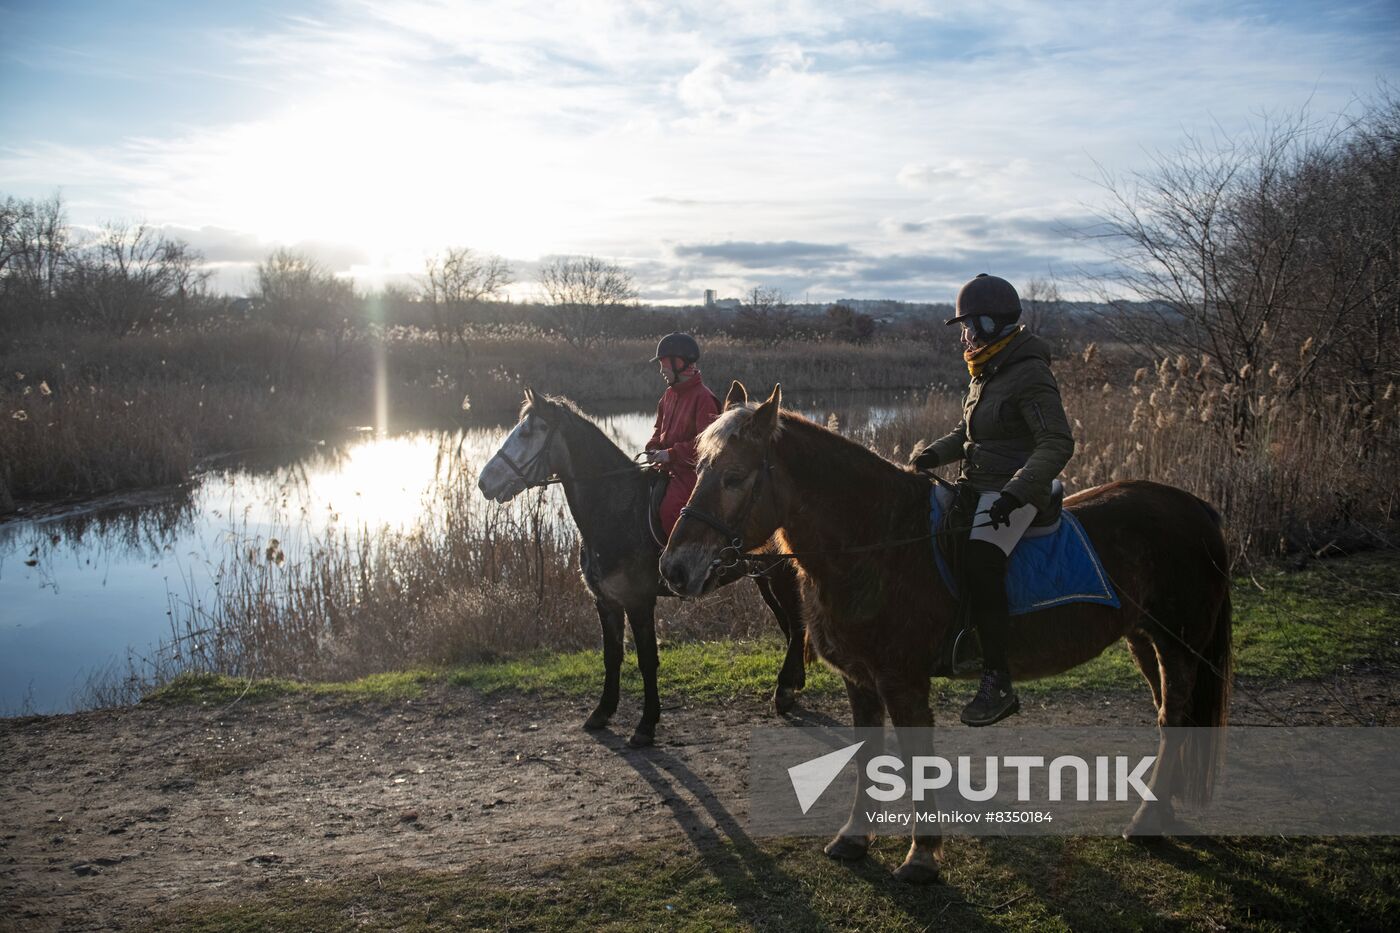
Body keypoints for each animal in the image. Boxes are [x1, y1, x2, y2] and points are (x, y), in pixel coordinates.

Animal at [478, 389, 812, 745]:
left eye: (528, 432)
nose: (484, 482)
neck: (616, 509)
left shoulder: (639, 602)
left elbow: (647, 660)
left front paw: (646, 724)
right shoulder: (606, 602)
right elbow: (612, 657)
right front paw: (602, 711)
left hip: (780, 575)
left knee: (796, 623)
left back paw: (785, 690)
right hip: (763, 578)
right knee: (789, 624)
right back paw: (794, 681)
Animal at [660, 381, 1232, 885]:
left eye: (734, 477)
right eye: (699, 469)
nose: (673, 568)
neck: (882, 542)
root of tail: (1196, 506)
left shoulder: (903, 684)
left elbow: (915, 762)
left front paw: (922, 856)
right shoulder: (860, 682)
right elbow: (867, 755)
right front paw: (855, 836)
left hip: (1179, 644)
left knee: (1174, 718)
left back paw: (1147, 822)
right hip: (1145, 639)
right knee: (1170, 716)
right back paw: (1161, 813)